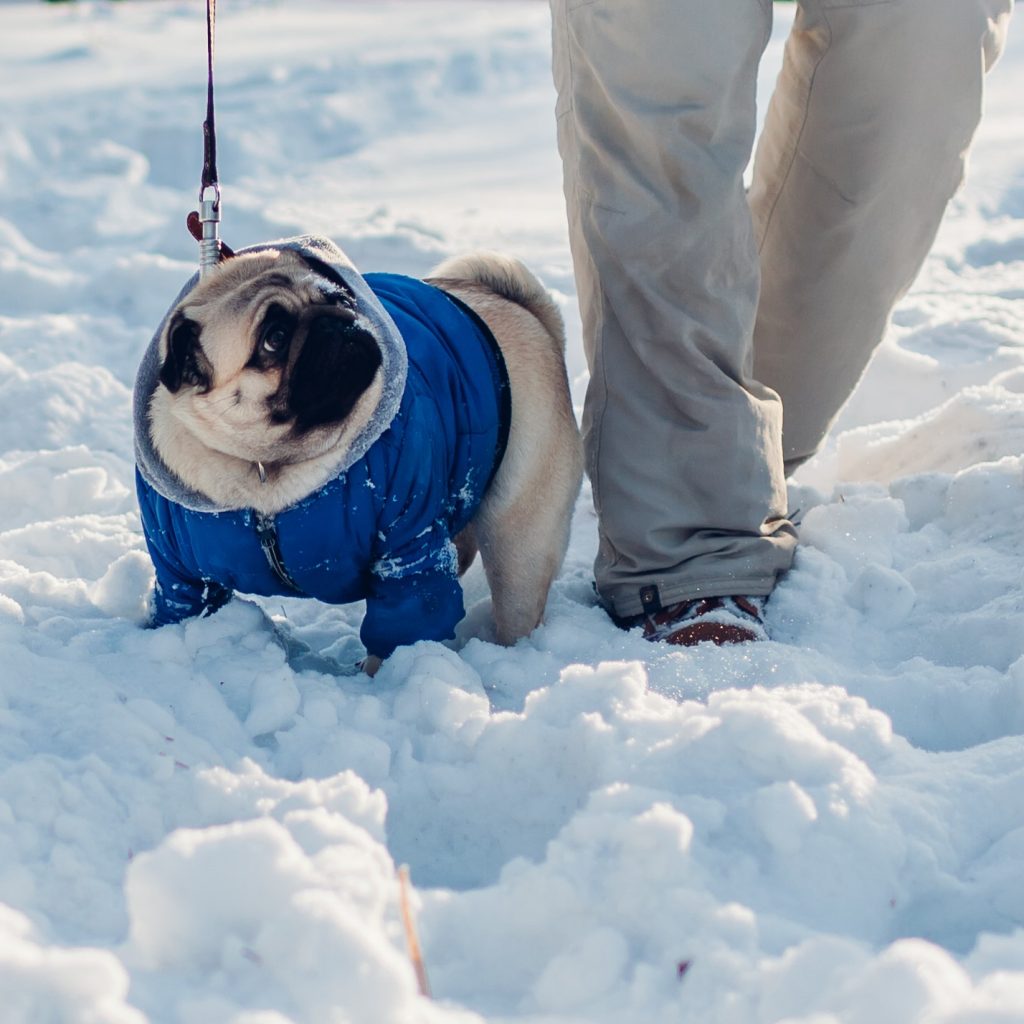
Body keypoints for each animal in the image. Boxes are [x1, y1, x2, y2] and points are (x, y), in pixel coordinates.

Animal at [134, 235, 585, 675]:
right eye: (274, 338)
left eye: (339, 298)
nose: (334, 321)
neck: (268, 474)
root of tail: (527, 311)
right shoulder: (180, 574)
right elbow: (184, 610)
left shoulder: (408, 555)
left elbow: (403, 627)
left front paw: (384, 680)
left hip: (519, 542)